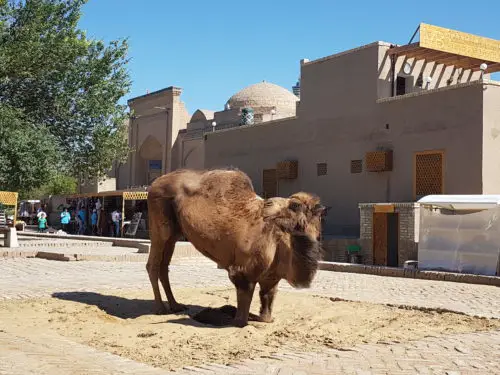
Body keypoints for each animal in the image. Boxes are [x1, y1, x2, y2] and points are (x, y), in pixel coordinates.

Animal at [146, 169, 326, 328]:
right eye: (296, 226)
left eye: (317, 231)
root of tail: (153, 184)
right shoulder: (242, 272)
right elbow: (240, 320)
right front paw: (225, 314)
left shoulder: (271, 278)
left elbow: (266, 313)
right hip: (160, 225)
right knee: (153, 265)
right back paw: (161, 308)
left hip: (174, 233)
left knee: (164, 266)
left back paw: (175, 306)